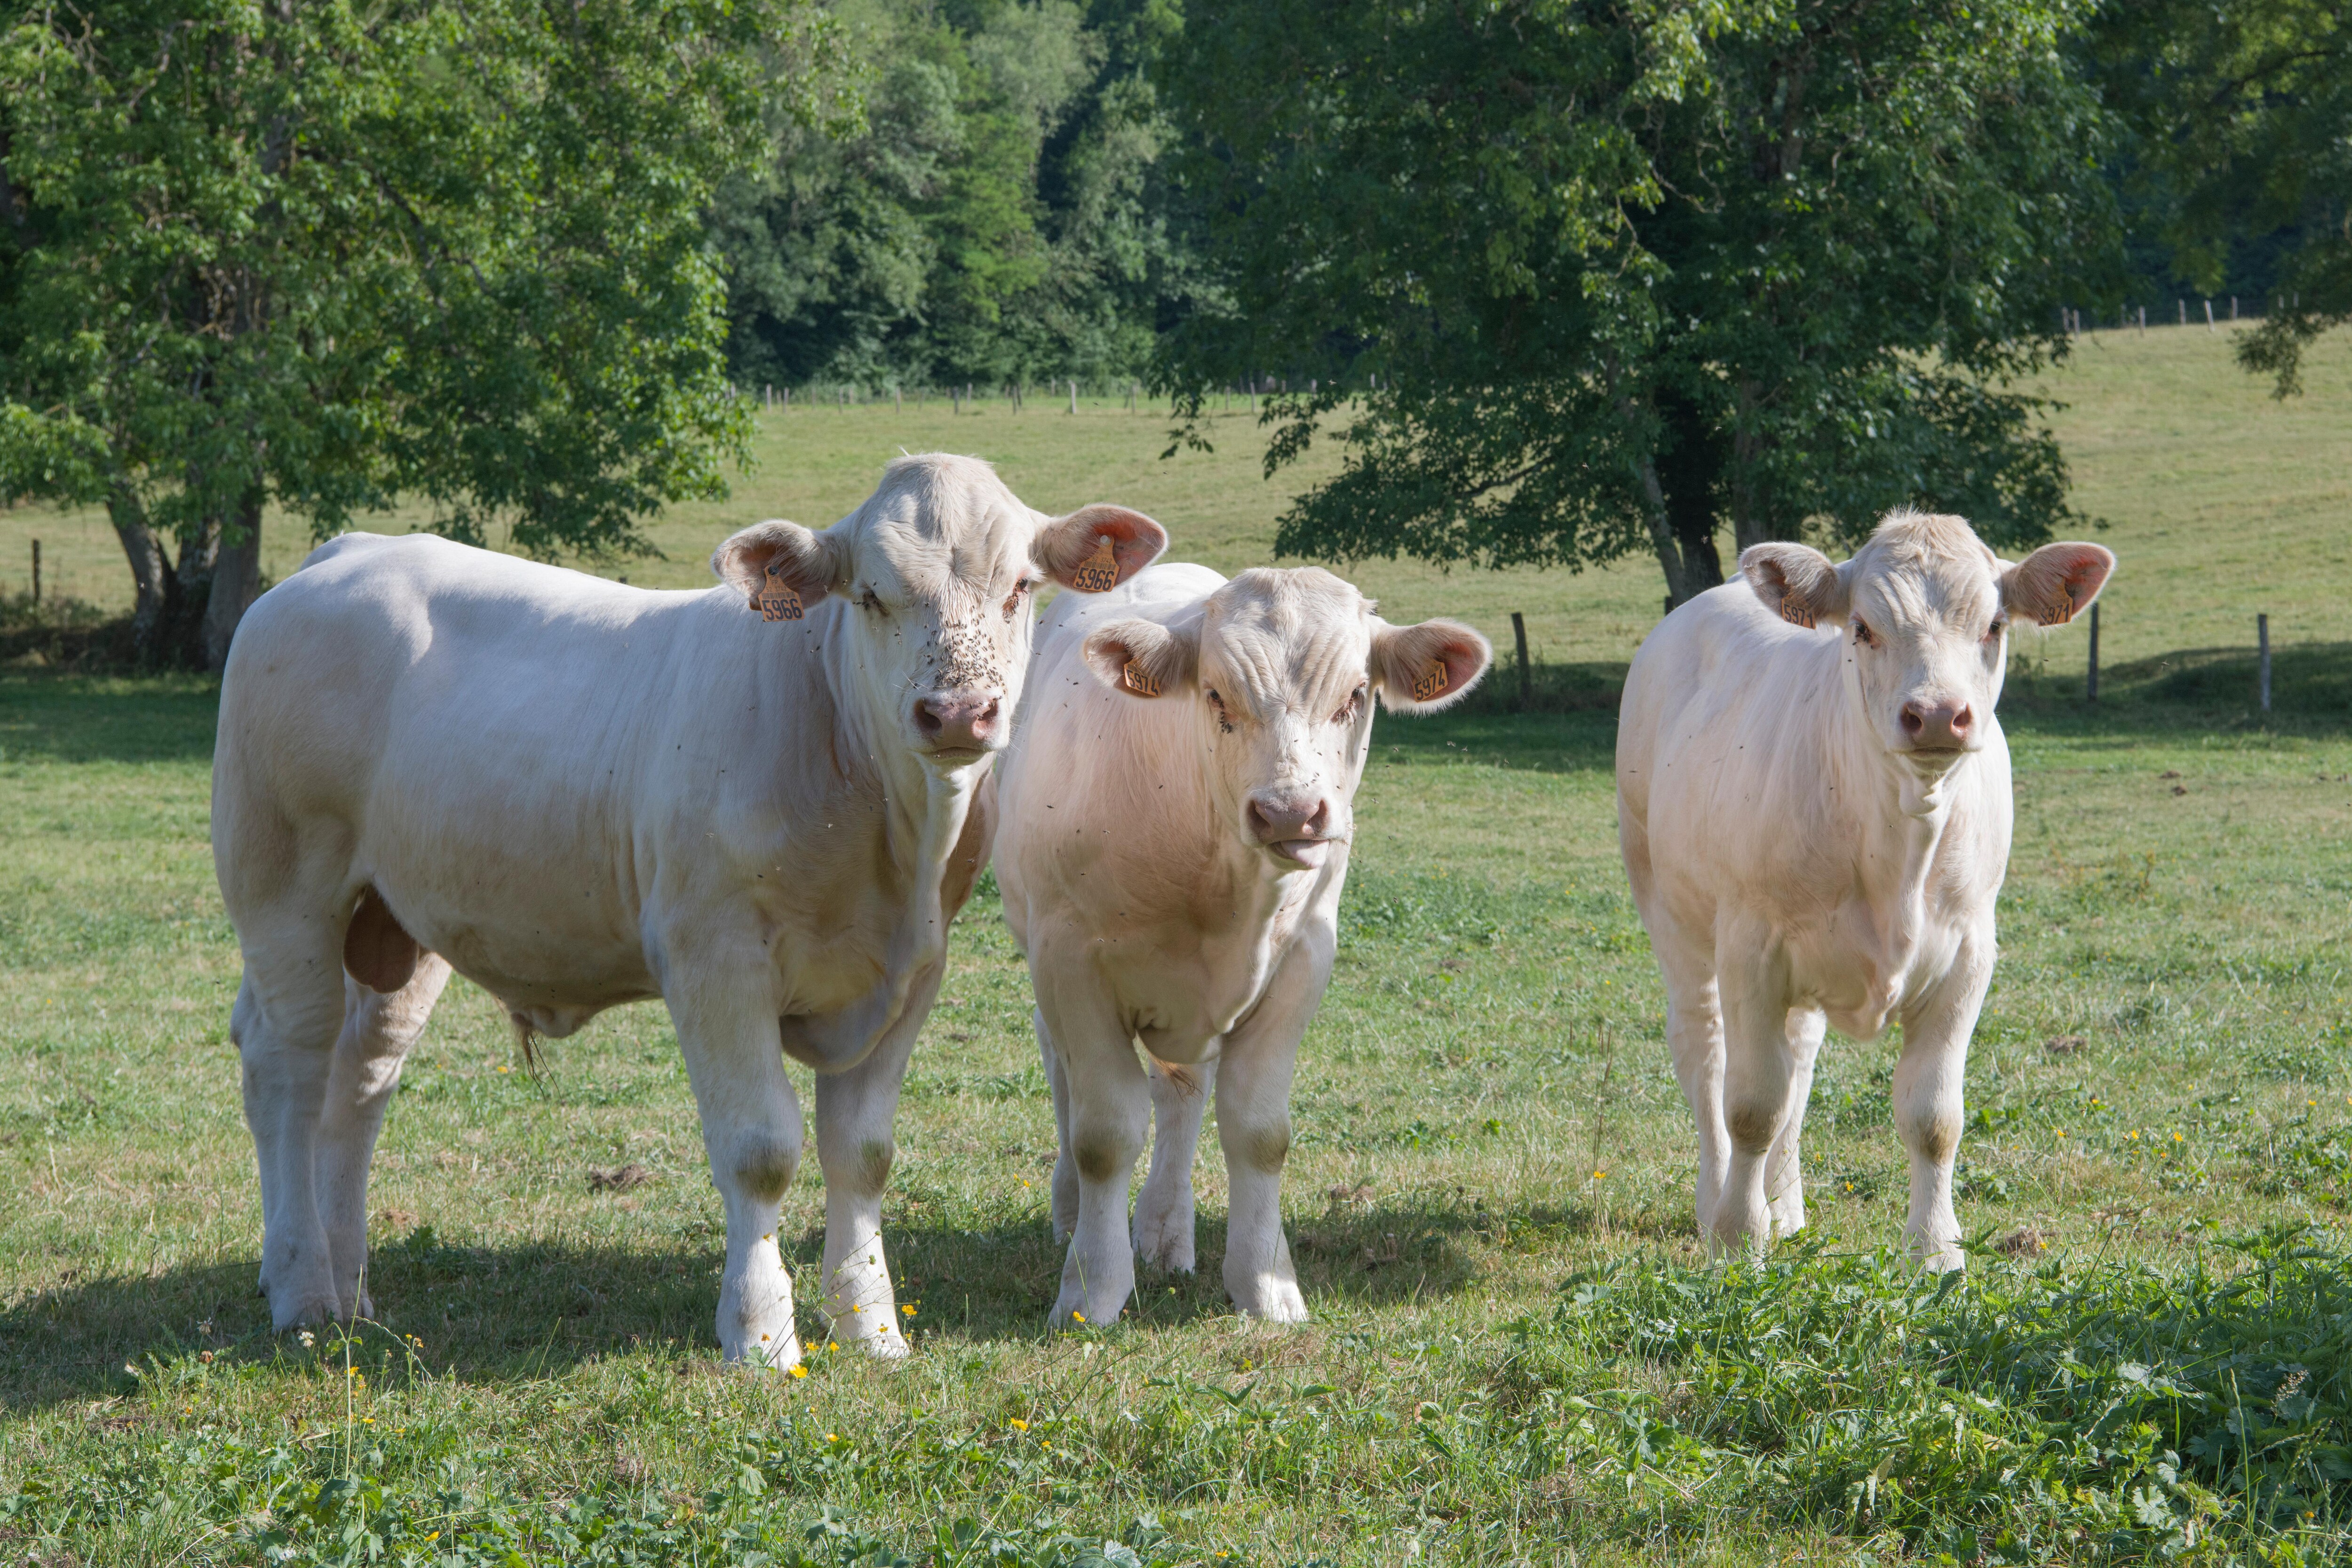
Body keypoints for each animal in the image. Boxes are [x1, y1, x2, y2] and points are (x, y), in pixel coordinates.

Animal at [210, 453, 1166, 1365]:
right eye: (869, 594)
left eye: (1020, 587)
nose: (960, 711)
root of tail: (345, 555)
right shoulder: (714, 958)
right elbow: (760, 1151)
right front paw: (763, 1334)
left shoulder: (911, 974)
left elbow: (863, 1156)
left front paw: (873, 1330)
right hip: (285, 890)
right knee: (287, 1069)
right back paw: (301, 1290)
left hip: (395, 925)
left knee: (360, 1077)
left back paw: (349, 1287)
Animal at [992, 563, 1490, 1327]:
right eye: (1215, 693)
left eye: (1355, 694)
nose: (1290, 811)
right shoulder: (1070, 962)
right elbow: (1102, 1134)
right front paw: (1092, 1288)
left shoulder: (1304, 959)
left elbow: (1258, 1131)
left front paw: (1266, 1285)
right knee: (1064, 1082)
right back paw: (1074, 1217)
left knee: (1180, 1095)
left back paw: (1166, 1232)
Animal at [1615, 509, 2113, 1267]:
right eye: (1862, 628)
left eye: (1994, 625)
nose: (1936, 714)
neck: (1899, 847)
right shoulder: (1751, 949)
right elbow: (1751, 1105)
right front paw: (1736, 1239)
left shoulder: (1969, 955)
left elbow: (1932, 1117)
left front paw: (1934, 1249)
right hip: (1670, 911)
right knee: (1705, 1052)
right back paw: (1716, 1200)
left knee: (1798, 1065)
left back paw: (1786, 1207)